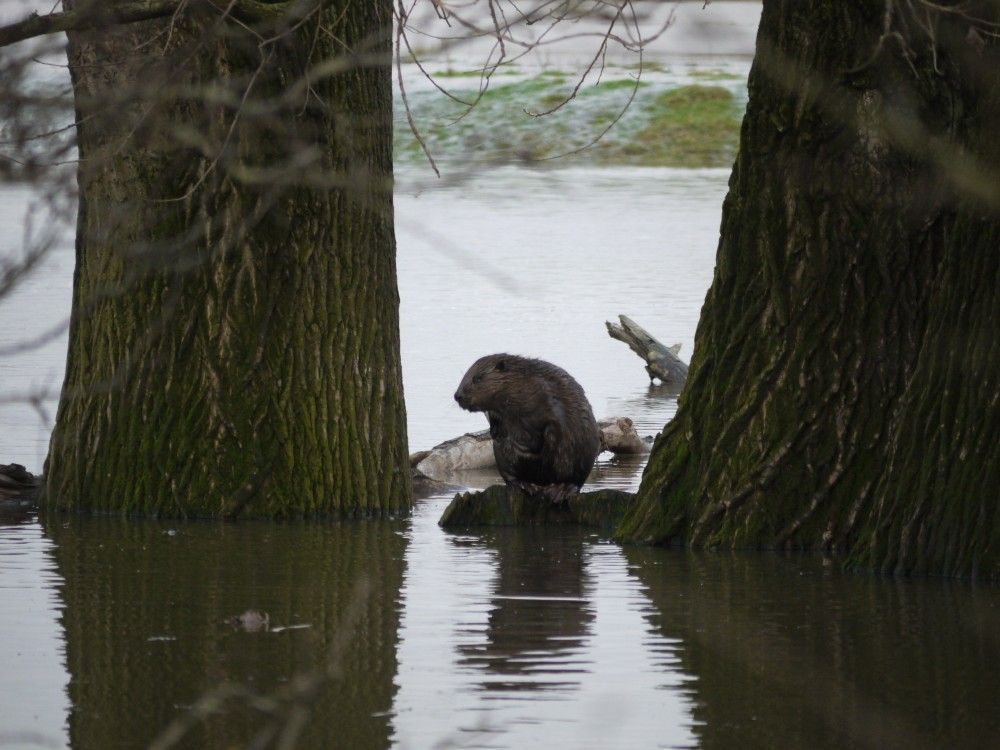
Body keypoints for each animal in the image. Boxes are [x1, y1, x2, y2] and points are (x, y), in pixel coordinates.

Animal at [454, 356, 600, 506]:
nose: (457, 396)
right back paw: (526, 485)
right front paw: (496, 431)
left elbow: (556, 422)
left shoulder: (547, 393)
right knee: (511, 477)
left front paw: (544, 447)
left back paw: (560, 490)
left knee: (575, 481)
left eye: (477, 378)